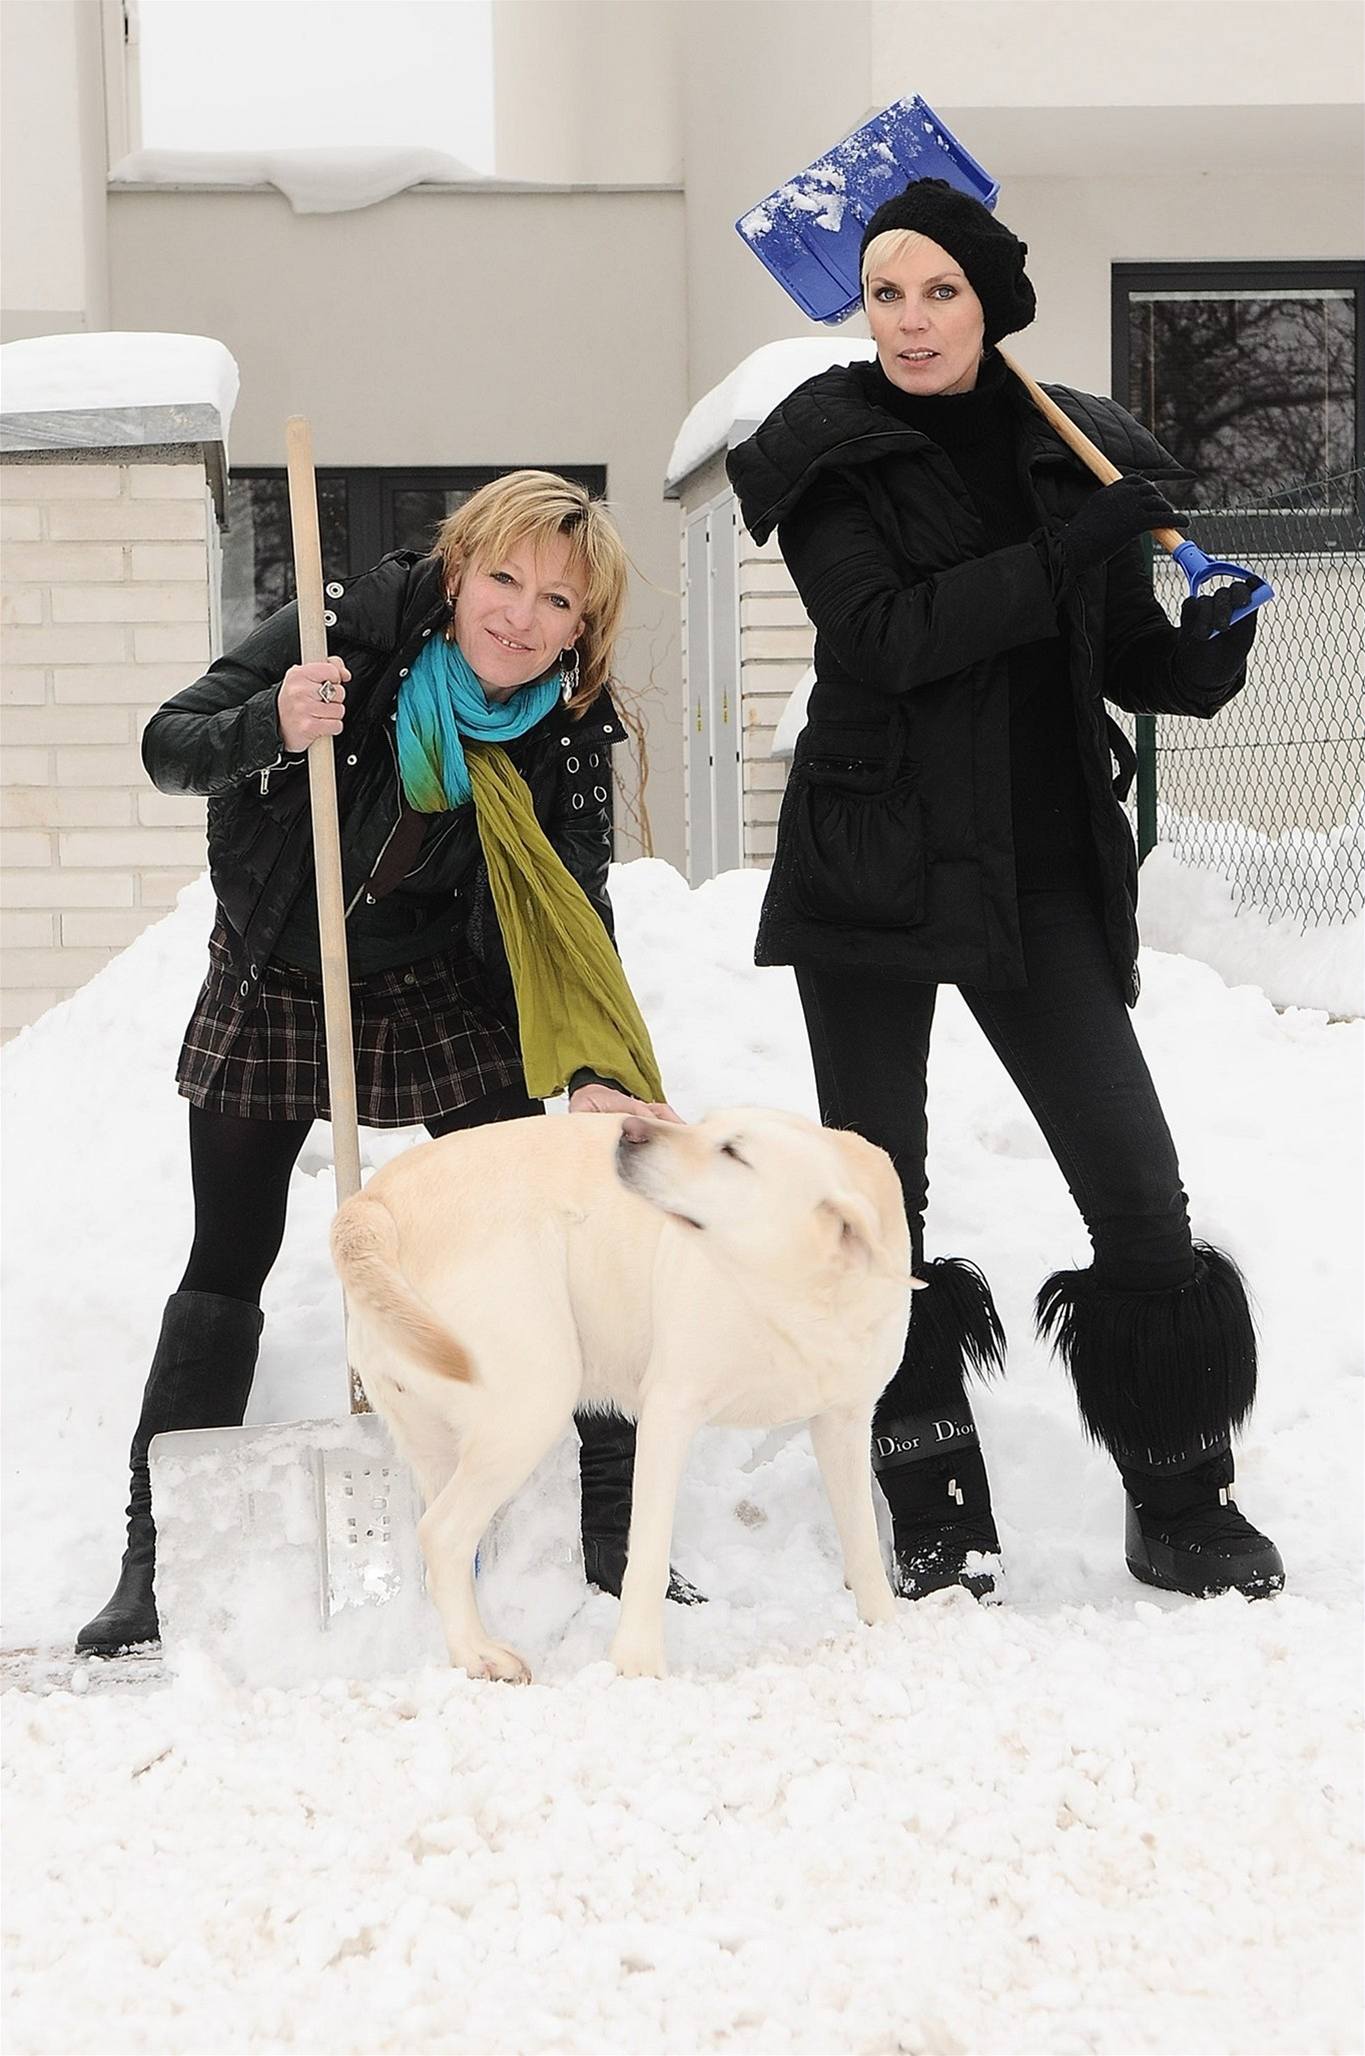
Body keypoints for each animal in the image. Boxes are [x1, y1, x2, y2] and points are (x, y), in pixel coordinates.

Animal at [330, 1118, 916, 1677]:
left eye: (733, 1151)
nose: (630, 1130)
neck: (790, 1302)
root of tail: (371, 1202)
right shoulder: (669, 1411)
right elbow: (648, 1555)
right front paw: (638, 1665)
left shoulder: (844, 1421)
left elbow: (863, 1543)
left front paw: (886, 1630)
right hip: (532, 1401)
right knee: (442, 1534)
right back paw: (481, 1656)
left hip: (438, 1440)